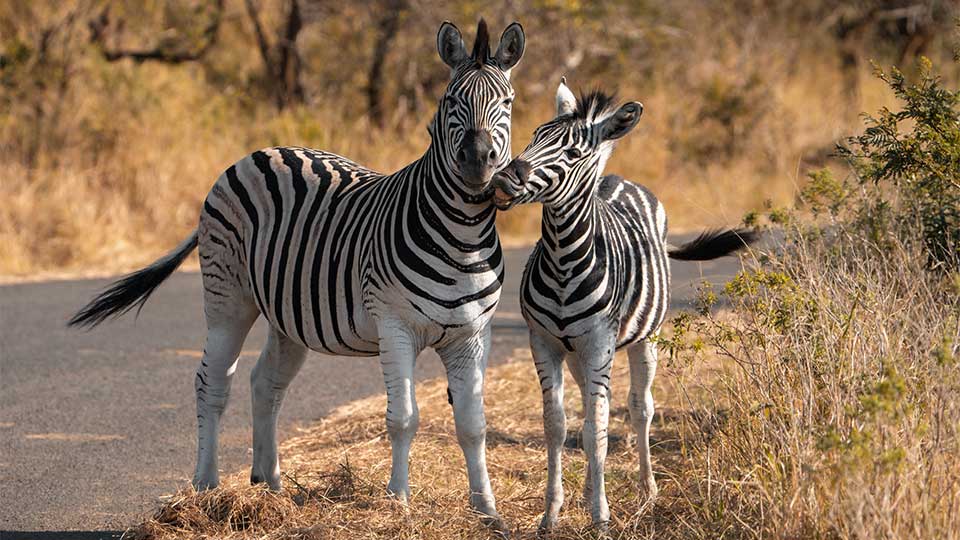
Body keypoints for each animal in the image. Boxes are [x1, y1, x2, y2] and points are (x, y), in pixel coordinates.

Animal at [68, 19, 525, 527]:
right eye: (450, 100)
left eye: (508, 102)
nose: (477, 160)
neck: (462, 236)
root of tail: (258, 153)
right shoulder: (395, 326)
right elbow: (404, 418)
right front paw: (398, 502)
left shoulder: (472, 334)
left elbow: (473, 425)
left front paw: (488, 511)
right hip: (228, 298)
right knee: (213, 382)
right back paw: (206, 487)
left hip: (290, 315)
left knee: (265, 382)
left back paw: (270, 485)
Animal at [490, 78, 756, 529]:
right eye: (534, 136)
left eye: (572, 153)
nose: (505, 178)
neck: (562, 260)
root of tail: (615, 178)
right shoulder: (544, 342)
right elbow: (558, 426)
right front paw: (552, 514)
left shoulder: (600, 342)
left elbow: (598, 428)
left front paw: (600, 516)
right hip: (578, 352)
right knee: (589, 408)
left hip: (644, 339)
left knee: (638, 407)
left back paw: (647, 489)